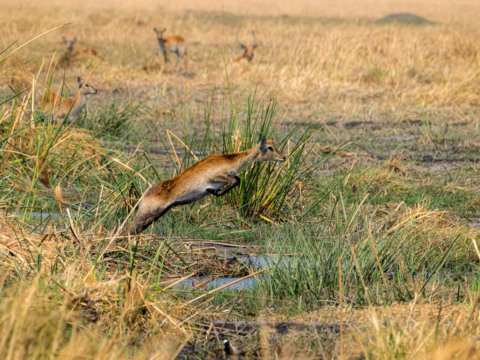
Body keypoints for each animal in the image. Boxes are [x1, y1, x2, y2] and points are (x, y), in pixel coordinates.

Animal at [125, 136, 286, 235]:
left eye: (275, 145)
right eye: (270, 147)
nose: (283, 157)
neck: (231, 159)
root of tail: (145, 194)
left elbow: (237, 179)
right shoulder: (215, 177)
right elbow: (236, 181)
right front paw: (213, 191)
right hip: (146, 214)